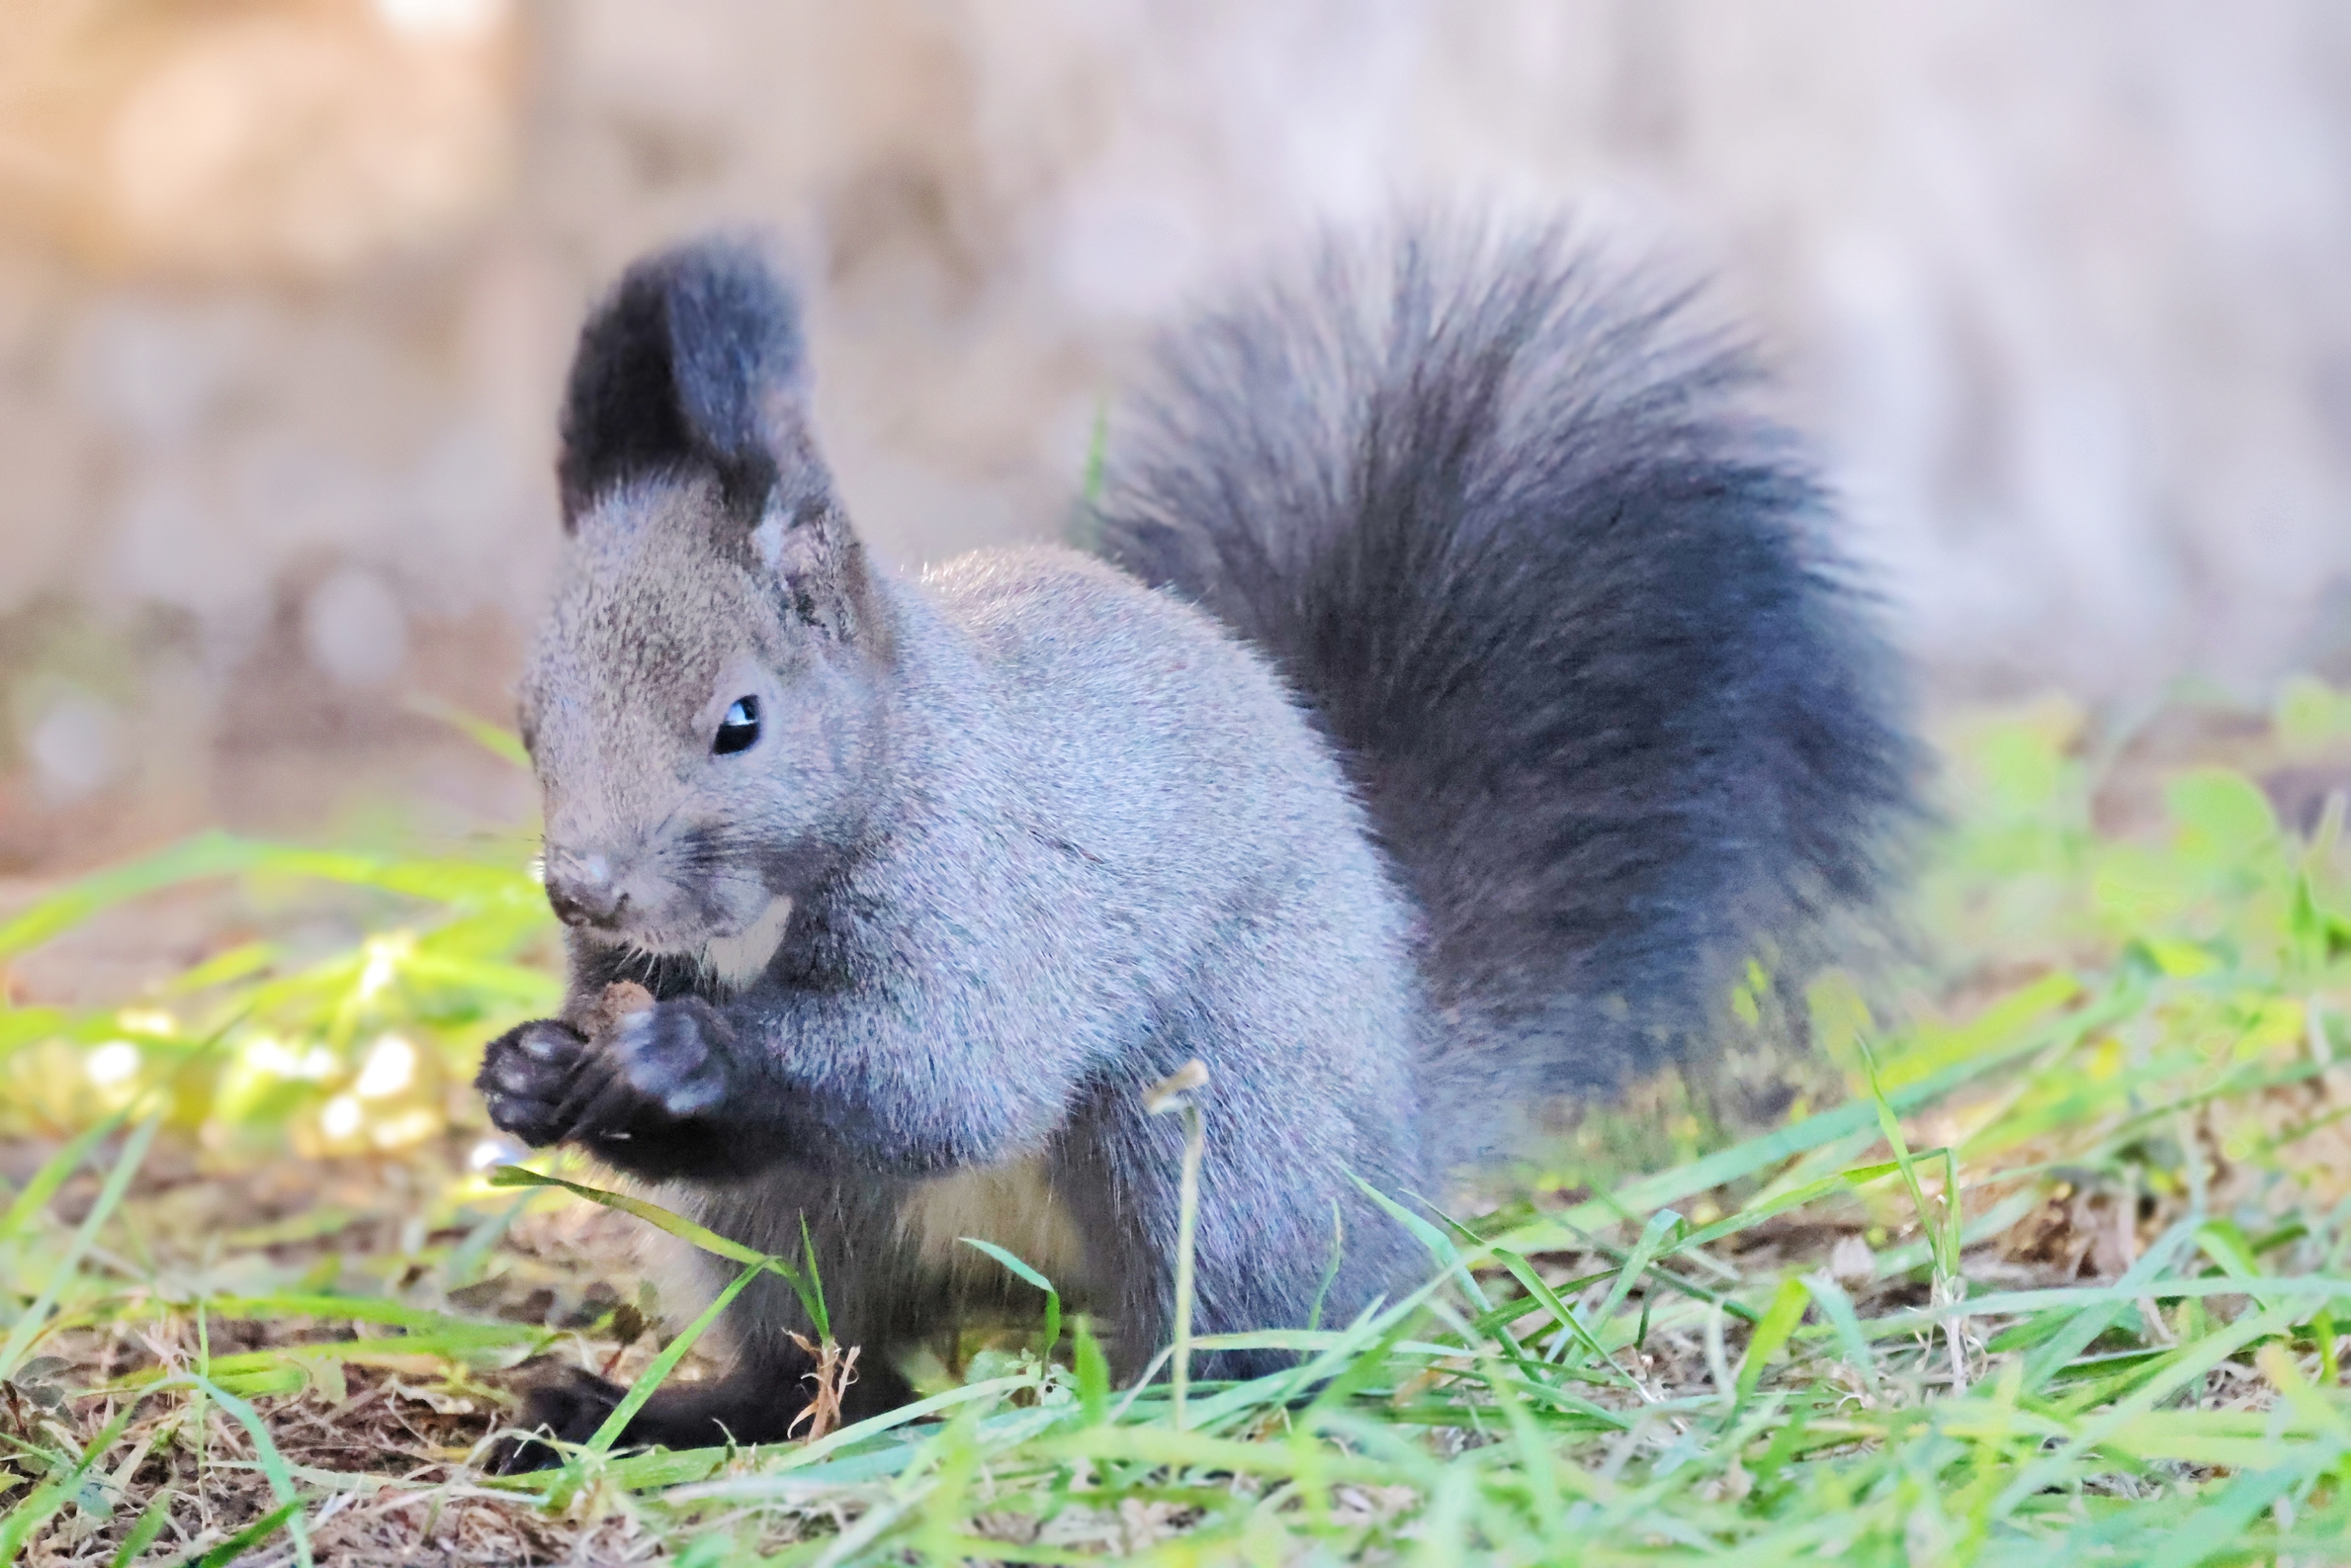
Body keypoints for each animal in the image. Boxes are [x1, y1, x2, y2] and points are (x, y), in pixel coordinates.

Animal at [472, 217, 1909, 1457]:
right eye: (530, 720)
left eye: (741, 723)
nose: (583, 890)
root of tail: (1399, 1138)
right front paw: (530, 1070)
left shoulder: (985, 892)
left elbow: (948, 1068)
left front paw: (676, 1056)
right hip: (783, 1225)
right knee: (827, 1366)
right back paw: (650, 1414)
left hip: (1216, 1143)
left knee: (1237, 1326)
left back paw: (1153, 1407)